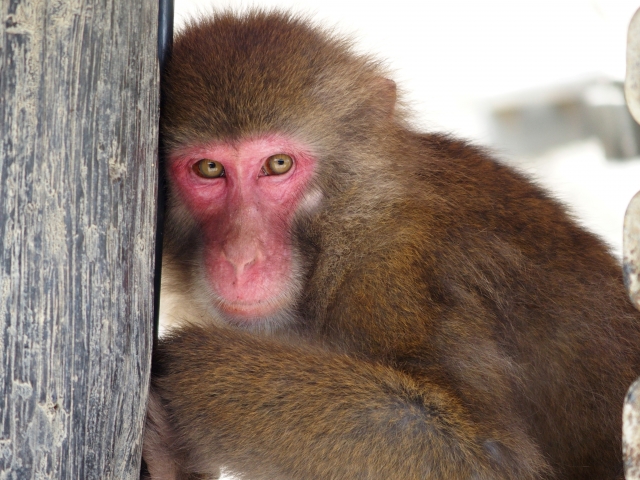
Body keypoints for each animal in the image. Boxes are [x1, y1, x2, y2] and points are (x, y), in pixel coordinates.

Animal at [142, 8, 640, 480]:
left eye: (277, 164)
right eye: (209, 169)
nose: (242, 256)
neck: (346, 229)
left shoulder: (396, 278)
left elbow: (487, 460)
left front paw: (188, 366)